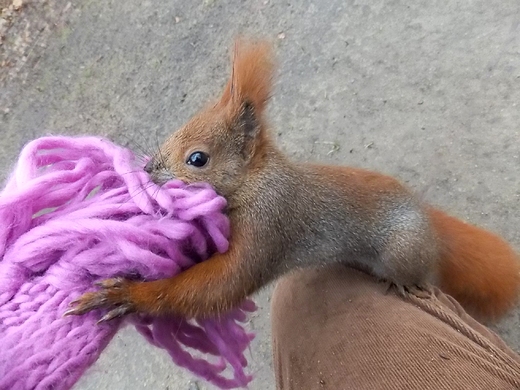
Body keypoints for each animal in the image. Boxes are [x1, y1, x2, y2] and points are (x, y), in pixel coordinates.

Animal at [65, 38, 520, 322]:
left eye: (197, 159)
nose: (147, 170)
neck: (259, 180)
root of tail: (427, 219)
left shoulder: (270, 224)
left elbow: (224, 283)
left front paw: (127, 295)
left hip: (402, 251)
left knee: (415, 273)